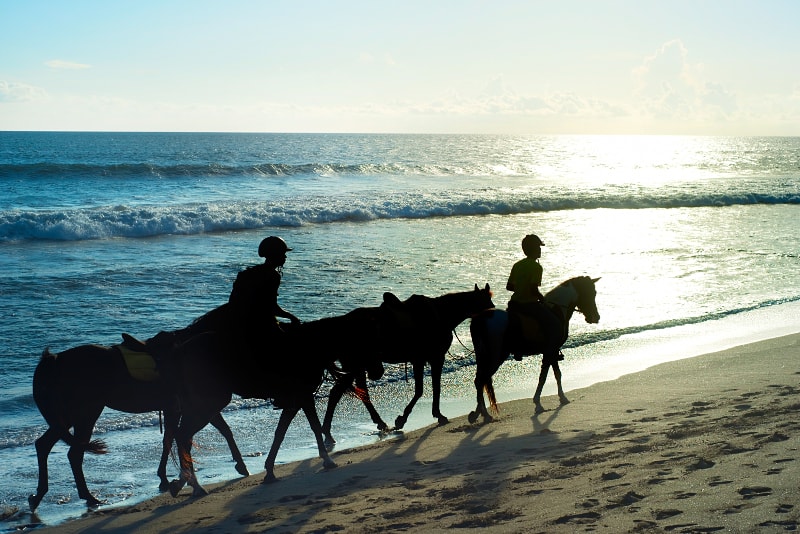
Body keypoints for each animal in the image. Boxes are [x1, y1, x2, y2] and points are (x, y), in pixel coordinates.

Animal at [28, 340, 247, 516]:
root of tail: (56, 359)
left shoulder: (184, 408)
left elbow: (184, 436)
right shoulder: (194, 406)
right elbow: (180, 437)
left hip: (69, 416)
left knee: (44, 445)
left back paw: (39, 496)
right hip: (85, 413)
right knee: (74, 453)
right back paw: (89, 497)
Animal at [161, 308, 386, 500]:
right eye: (367, 340)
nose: (379, 371)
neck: (310, 348)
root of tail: (181, 350)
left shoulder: (295, 401)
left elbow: (280, 432)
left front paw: (269, 470)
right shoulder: (304, 396)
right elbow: (312, 427)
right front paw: (327, 460)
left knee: (182, 436)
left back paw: (184, 482)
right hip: (209, 402)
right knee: (183, 436)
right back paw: (194, 484)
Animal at [318, 284, 494, 444]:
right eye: (488, 302)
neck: (440, 315)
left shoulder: (428, 359)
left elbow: (432, 388)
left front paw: (434, 415)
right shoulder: (430, 359)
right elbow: (424, 390)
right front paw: (405, 419)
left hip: (358, 367)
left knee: (356, 392)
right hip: (356, 367)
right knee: (338, 392)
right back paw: (328, 431)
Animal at [468, 278, 600, 426]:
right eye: (591, 293)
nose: (596, 317)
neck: (556, 310)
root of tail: (480, 319)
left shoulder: (552, 351)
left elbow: (556, 374)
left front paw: (561, 397)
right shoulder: (550, 350)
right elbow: (545, 376)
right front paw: (539, 403)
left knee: (480, 380)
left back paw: (479, 413)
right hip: (496, 357)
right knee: (481, 380)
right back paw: (484, 414)